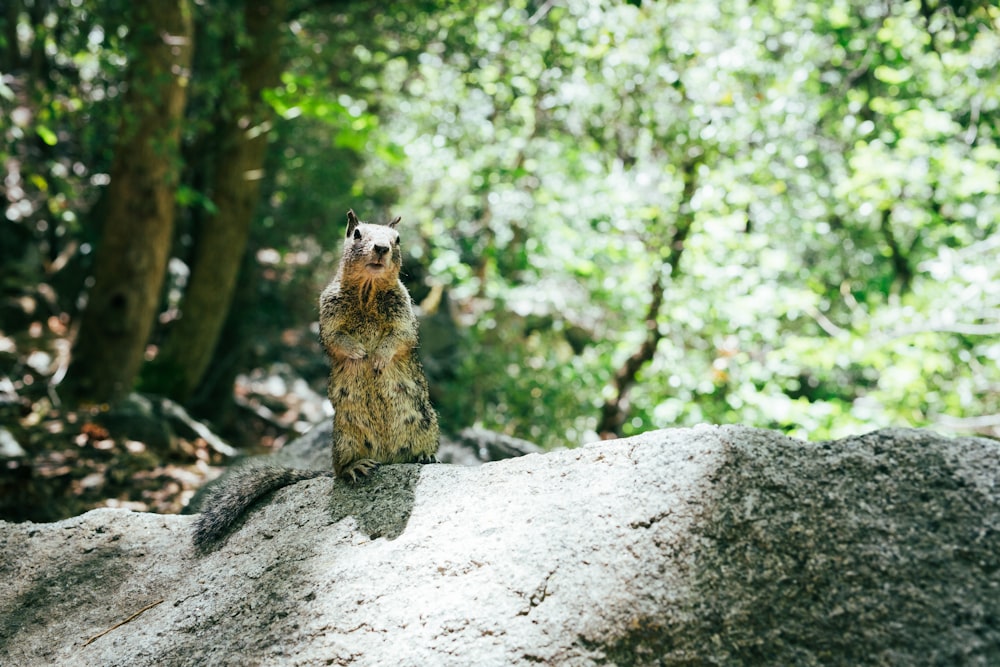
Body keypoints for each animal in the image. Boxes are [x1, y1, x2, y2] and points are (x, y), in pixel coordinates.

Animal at [192, 210, 442, 552]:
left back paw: (425, 456)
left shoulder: (405, 313)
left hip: (425, 422)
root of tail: (386, 459)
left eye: (398, 239)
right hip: (345, 437)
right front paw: (360, 355)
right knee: (339, 472)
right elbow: (337, 339)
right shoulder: (328, 312)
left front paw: (377, 358)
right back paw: (355, 467)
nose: (381, 248)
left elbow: (400, 337)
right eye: (357, 234)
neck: (368, 290)